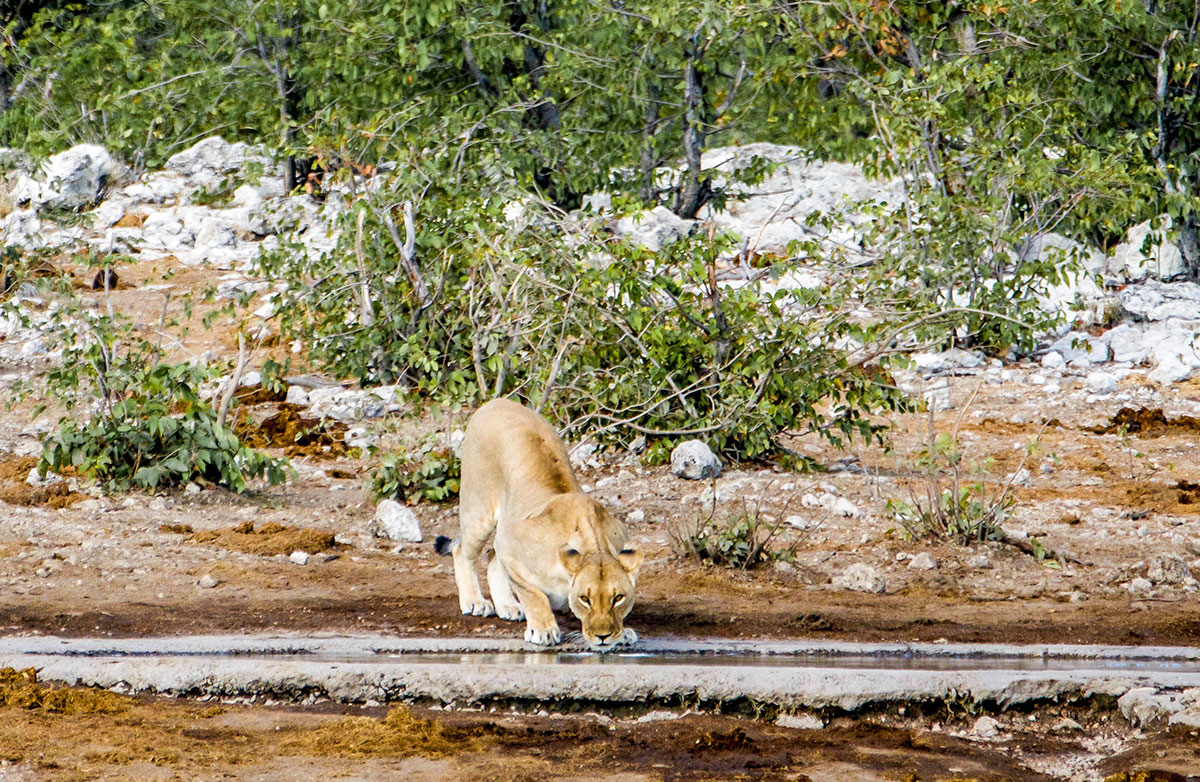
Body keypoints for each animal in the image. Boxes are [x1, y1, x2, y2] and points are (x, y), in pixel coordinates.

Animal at [434, 398, 642, 650]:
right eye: (585, 599)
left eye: (618, 598)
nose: (603, 636)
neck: (592, 543)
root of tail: (496, 401)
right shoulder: (512, 551)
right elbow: (534, 595)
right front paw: (543, 630)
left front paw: (623, 634)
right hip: (479, 509)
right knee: (462, 550)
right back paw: (475, 601)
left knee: (492, 557)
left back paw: (509, 606)